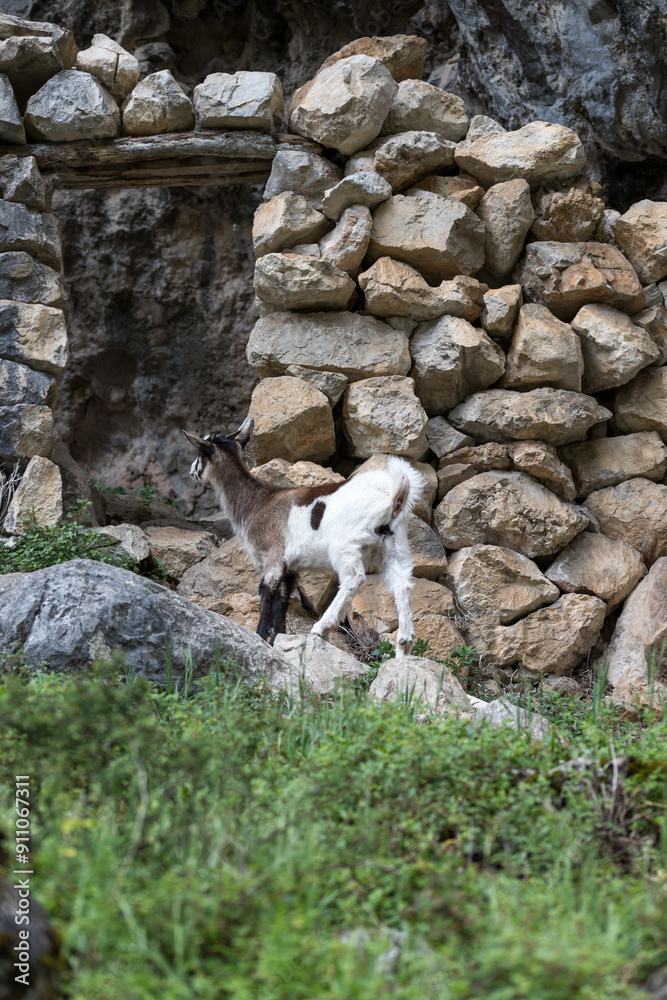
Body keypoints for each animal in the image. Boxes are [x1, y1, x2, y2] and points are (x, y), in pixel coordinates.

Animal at [183, 417, 424, 656]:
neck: (258, 504)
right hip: (393, 545)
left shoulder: (274, 554)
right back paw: (404, 644)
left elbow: (265, 592)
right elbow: (282, 600)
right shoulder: (291, 567)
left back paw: (321, 628)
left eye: (200, 454)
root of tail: (397, 491)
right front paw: (277, 638)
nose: (192, 472)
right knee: (402, 585)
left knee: (353, 578)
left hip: (346, 544)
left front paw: (261, 635)